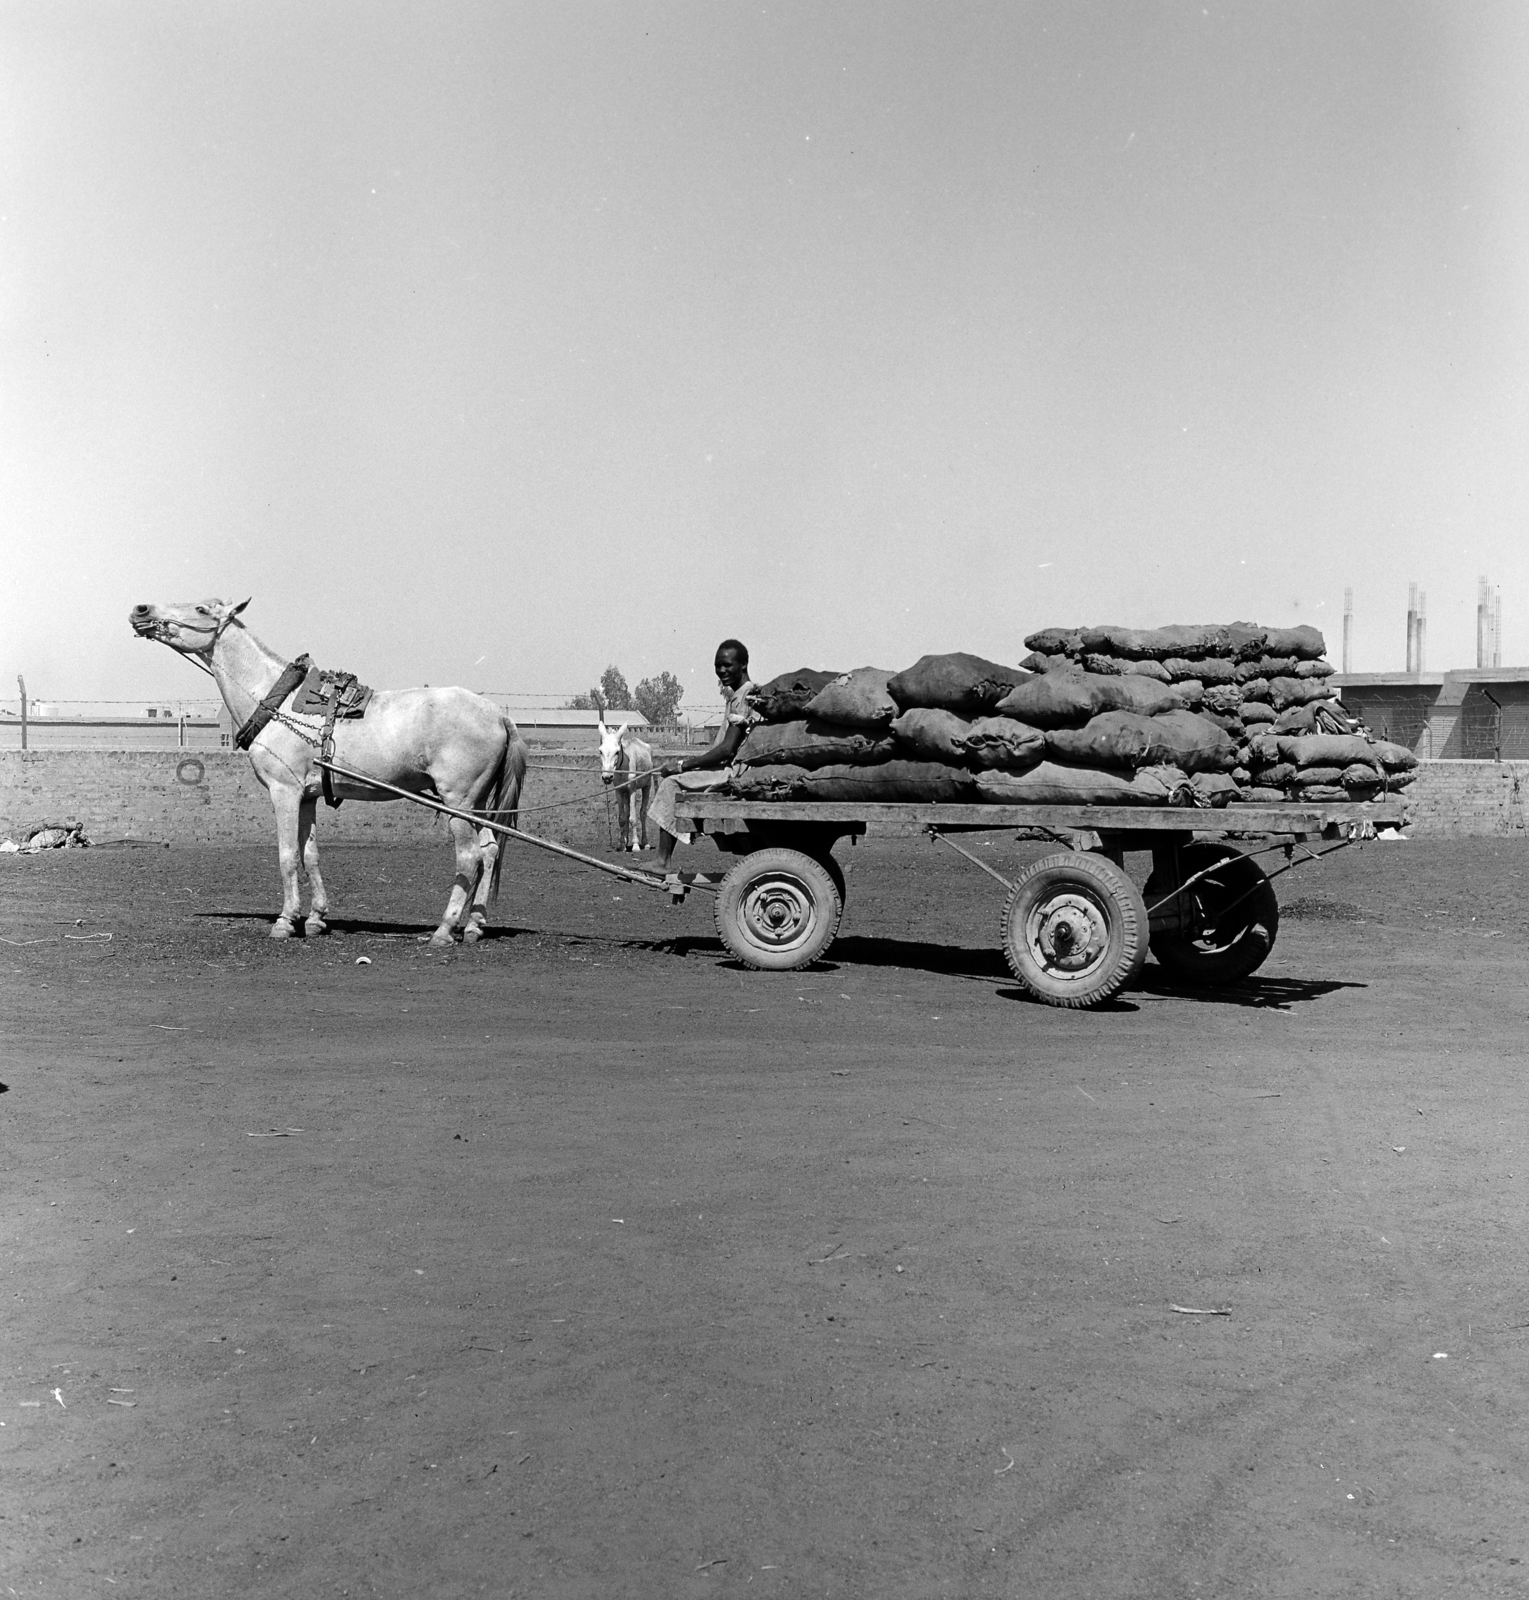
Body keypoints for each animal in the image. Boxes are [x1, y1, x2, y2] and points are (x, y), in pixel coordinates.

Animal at [132, 601, 524, 947]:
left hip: (458, 801)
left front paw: (286, 921)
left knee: (470, 857)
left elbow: (288, 855)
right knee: (490, 850)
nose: (141, 610)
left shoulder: (284, 791)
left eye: (200, 609)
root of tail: (497, 714)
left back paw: (444, 930)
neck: (277, 703)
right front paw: (316, 919)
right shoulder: (307, 796)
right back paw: (474, 925)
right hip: (475, 804)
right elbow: (310, 855)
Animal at [598, 720, 652, 857]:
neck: (622, 768)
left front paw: (636, 845)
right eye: (600, 751)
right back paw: (626, 840)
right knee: (627, 813)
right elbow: (622, 818)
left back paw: (645, 843)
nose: (607, 777)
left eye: (617, 752)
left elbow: (633, 817)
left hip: (646, 787)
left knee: (642, 813)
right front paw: (622, 844)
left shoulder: (632, 790)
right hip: (625, 793)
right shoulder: (619, 790)